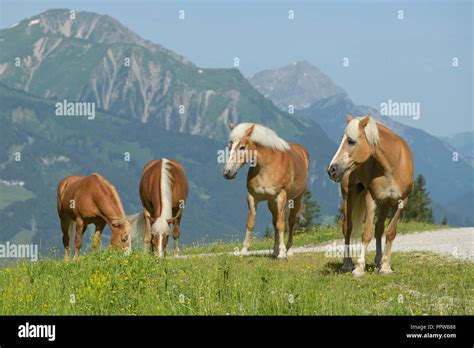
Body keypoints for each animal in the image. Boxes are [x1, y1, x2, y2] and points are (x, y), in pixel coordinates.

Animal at [223, 122, 310, 258]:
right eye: (230, 146)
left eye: (242, 147)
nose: (228, 172)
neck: (267, 166)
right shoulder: (252, 197)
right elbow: (250, 223)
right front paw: (243, 251)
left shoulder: (281, 196)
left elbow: (281, 224)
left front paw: (282, 253)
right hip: (272, 203)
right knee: (275, 222)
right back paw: (274, 251)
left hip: (296, 199)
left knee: (290, 222)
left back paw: (289, 250)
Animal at [328, 114, 412, 278]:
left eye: (351, 141)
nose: (331, 170)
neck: (392, 167)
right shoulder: (371, 199)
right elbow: (366, 234)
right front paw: (359, 269)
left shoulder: (401, 202)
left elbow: (390, 233)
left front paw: (386, 267)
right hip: (349, 196)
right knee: (347, 227)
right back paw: (347, 264)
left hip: (385, 203)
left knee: (379, 229)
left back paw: (378, 263)